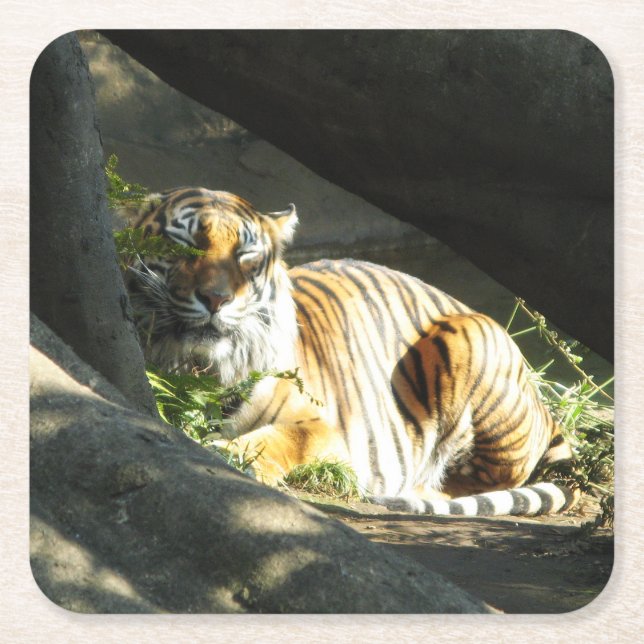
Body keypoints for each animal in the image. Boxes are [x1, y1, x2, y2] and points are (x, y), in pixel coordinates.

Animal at [122, 187, 578, 517]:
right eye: (184, 244)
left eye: (245, 254)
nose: (216, 299)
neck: (200, 367)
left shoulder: (325, 427)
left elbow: (282, 438)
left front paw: (231, 455)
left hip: (471, 340)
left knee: (487, 479)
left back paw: (414, 490)